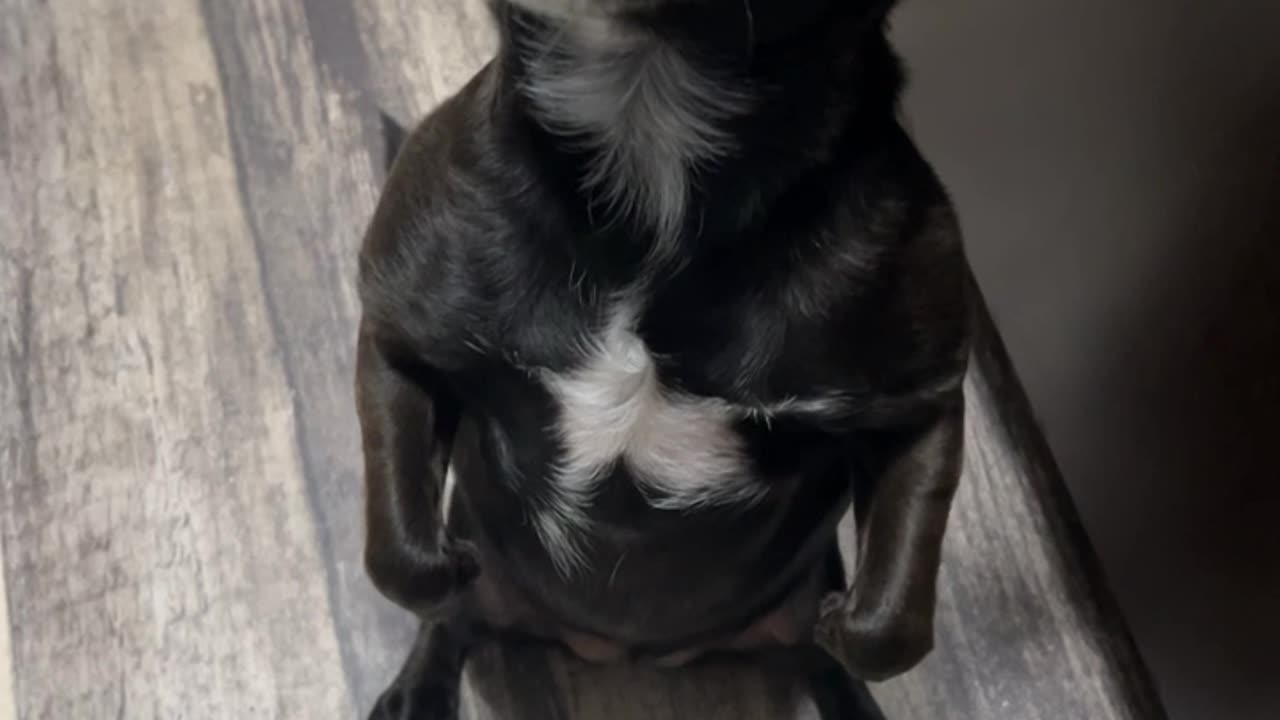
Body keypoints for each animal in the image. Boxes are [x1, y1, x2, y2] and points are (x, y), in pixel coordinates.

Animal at [355, 2, 962, 712]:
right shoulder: (398, 338)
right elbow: (403, 559)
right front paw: (444, 560)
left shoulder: (922, 407)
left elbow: (887, 628)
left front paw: (848, 620)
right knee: (450, 620)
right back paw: (416, 693)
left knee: (818, 652)